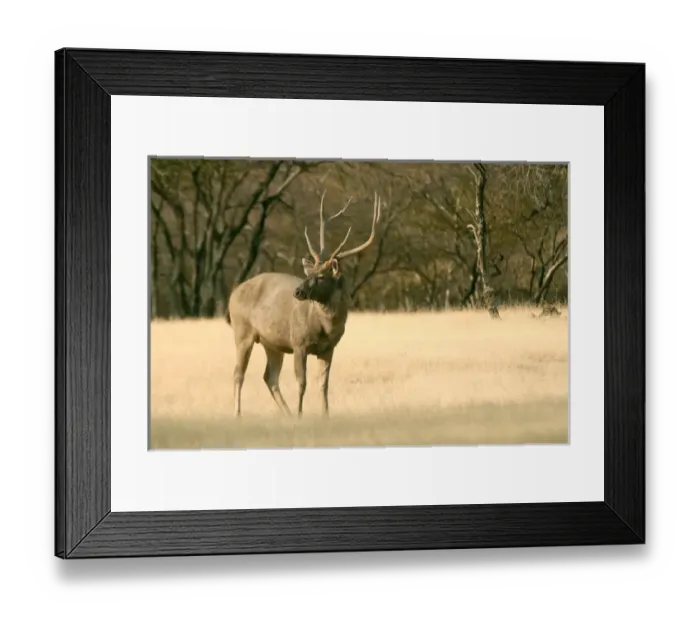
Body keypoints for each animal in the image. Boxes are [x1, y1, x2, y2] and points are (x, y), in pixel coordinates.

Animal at [225, 191, 382, 419]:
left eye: (322, 276)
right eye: (309, 273)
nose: (298, 291)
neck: (325, 327)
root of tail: (233, 293)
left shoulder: (329, 348)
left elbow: (323, 384)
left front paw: (325, 415)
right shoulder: (299, 342)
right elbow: (302, 383)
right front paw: (301, 415)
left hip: (271, 342)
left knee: (269, 377)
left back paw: (286, 414)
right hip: (242, 330)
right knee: (238, 373)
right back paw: (238, 414)